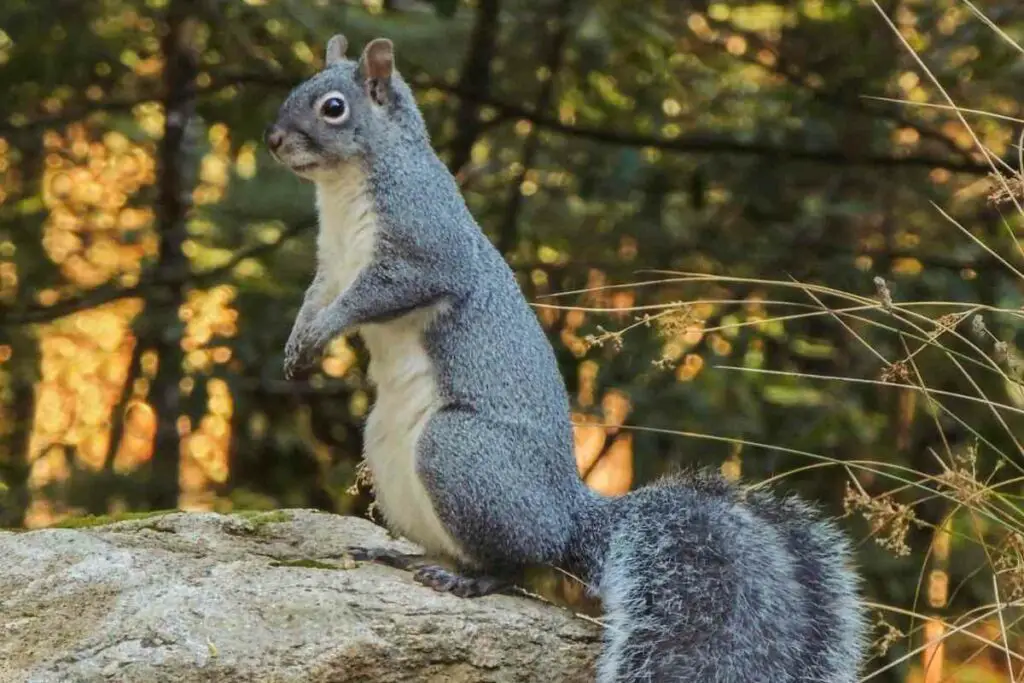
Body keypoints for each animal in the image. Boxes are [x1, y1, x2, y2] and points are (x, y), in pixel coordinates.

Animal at [264, 33, 864, 683]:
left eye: (332, 108)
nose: (273, 140)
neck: (344, 189)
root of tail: (568, 516)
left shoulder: (424, 245)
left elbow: (379, 294)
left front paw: (323, 334)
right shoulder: (331, 266)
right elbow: (315, 299)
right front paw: (296, 346)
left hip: (459, 451)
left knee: (518, 561)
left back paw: (470, 580)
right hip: (386, 448)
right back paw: (404, 557)